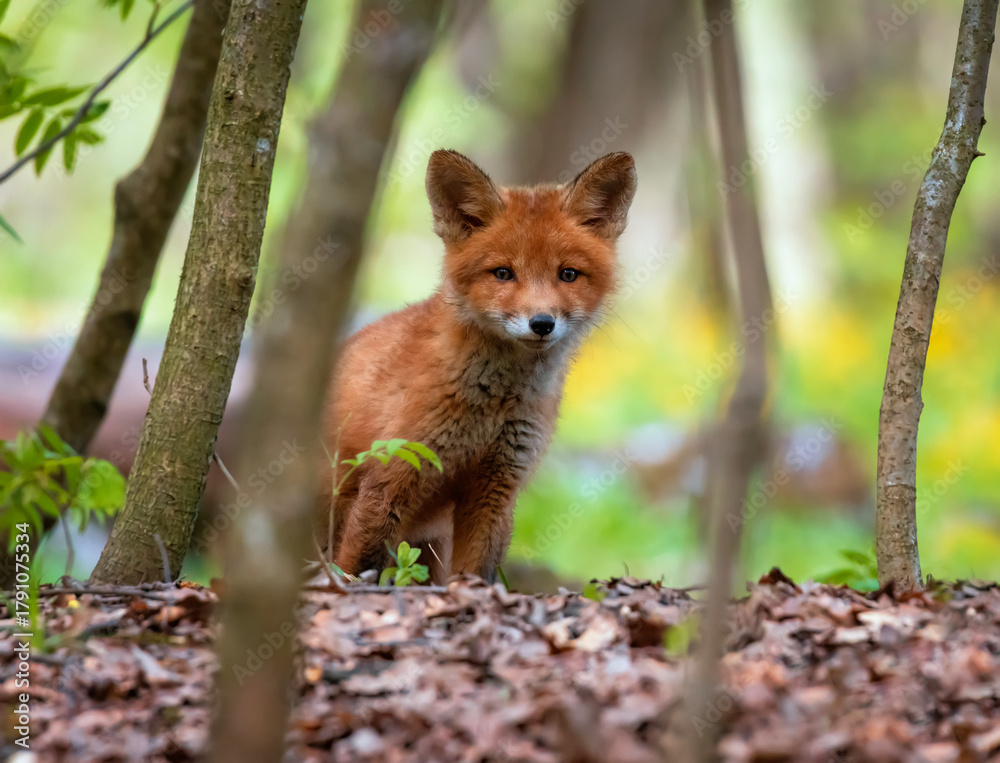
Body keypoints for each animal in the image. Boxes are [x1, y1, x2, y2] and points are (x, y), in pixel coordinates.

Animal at [321, 148, 637, 583]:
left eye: (568, 274)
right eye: (503, 273)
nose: (542, 323)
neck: (493, 406)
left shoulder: (497, 485)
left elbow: (476, 573)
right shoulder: (392, 474)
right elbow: (358, 566)